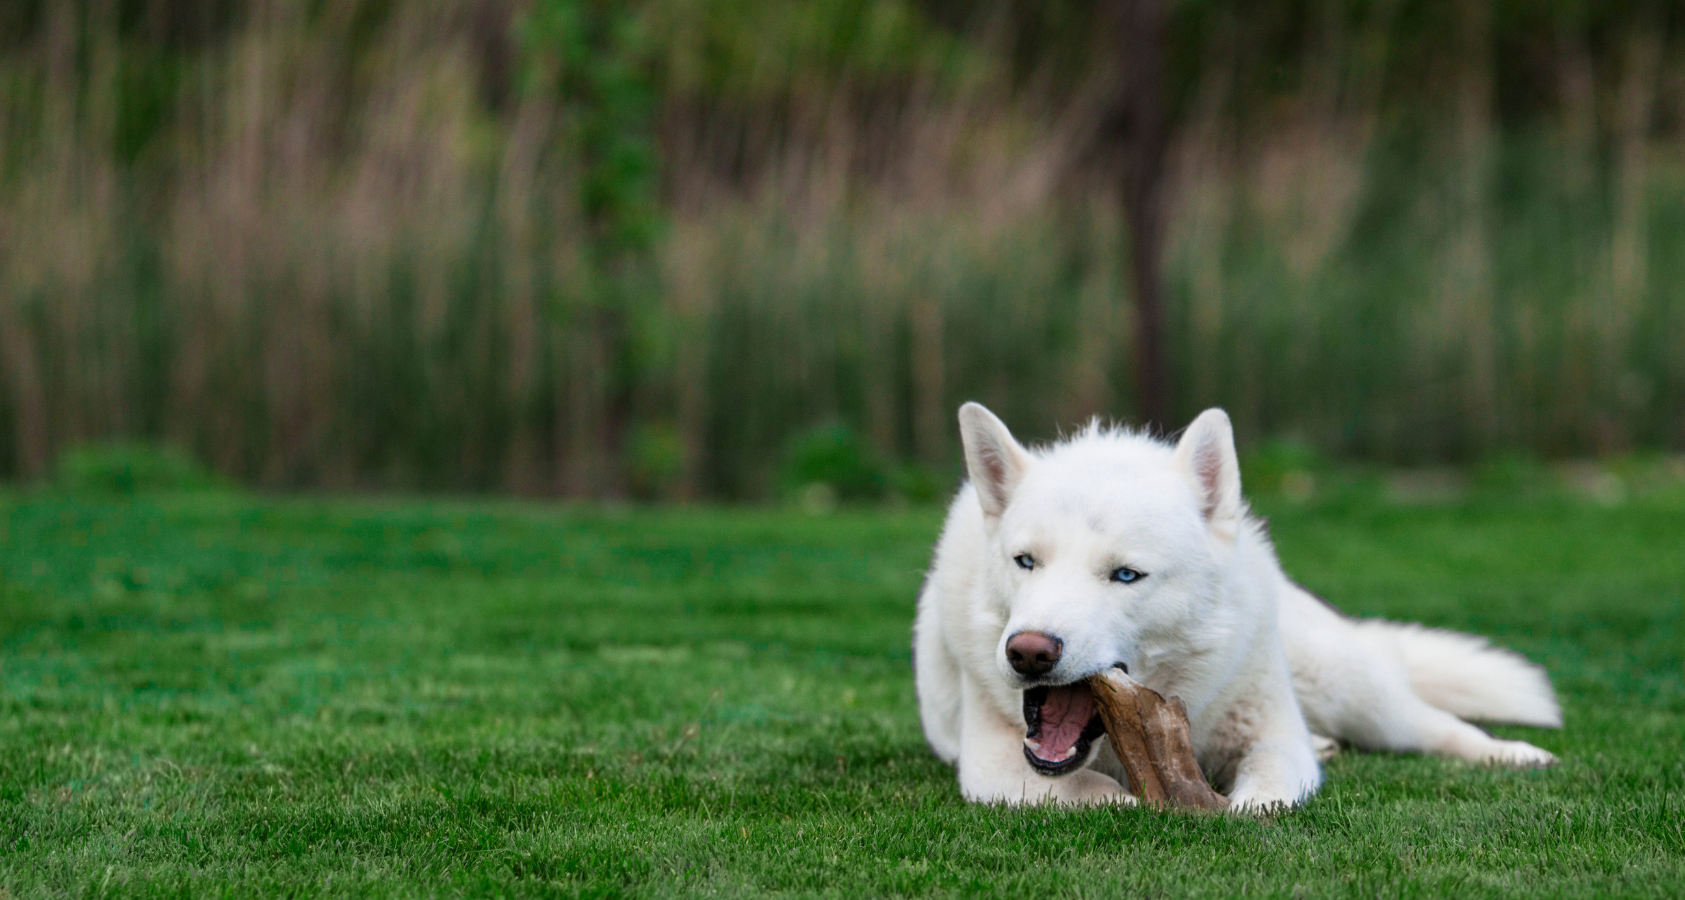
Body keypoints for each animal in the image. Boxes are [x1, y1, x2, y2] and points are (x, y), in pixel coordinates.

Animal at [916, 406, 1556, 815]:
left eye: (1125, 575)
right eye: (1026, 561)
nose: (1028, 652)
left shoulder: (1274, 736)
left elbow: (1269, 787)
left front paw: (1241, 809)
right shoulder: (993, 766)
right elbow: (1100, 796)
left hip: (1352, 691)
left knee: (1432, 723)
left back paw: (1513, 753)